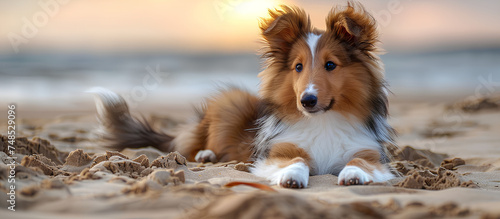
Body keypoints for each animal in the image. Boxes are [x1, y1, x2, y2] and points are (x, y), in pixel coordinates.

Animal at [90, 1, 394, 189]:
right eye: (298, 67)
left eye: (330, 65)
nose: (307, 101)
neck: (323, 120)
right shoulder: (278, 151)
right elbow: (295, 160)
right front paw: (292, 177)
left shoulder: (368, 151)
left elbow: (359, 161)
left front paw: (353, 173)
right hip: (230, 103)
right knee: (193, 144)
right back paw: (206, 155)